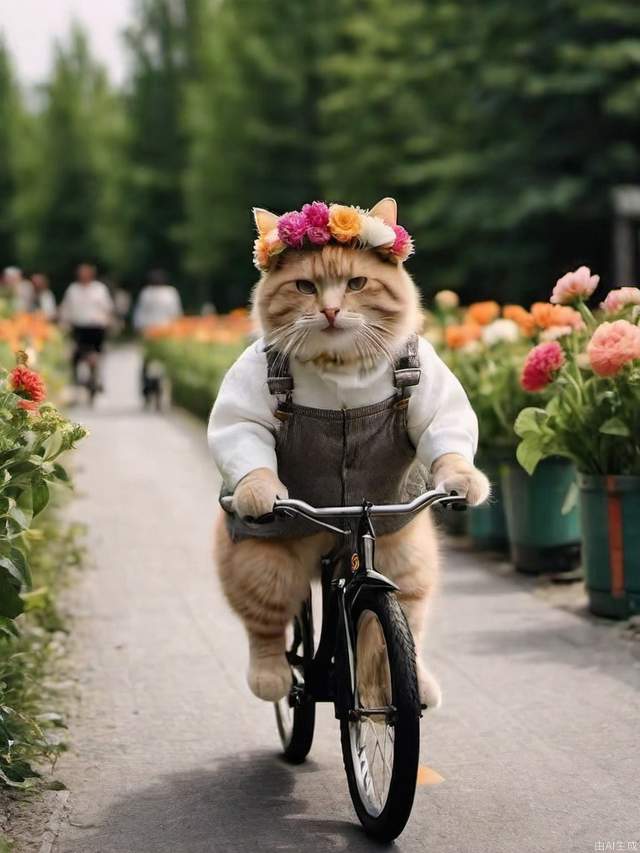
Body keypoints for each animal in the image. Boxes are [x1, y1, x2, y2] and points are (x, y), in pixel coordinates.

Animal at [208, 198, 488, 704]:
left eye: (357, 283)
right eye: (305, 287)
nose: (332, 310)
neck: (339, 373)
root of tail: (335, 534)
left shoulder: (433, 388)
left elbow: (448, 431)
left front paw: (463, 479)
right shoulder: (244, 402)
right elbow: (243, 437)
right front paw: (260, 490)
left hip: (405, 559)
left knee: (389, 637)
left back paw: (413, 685)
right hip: (266, 564)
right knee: (267, 626)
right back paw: (272, 677)